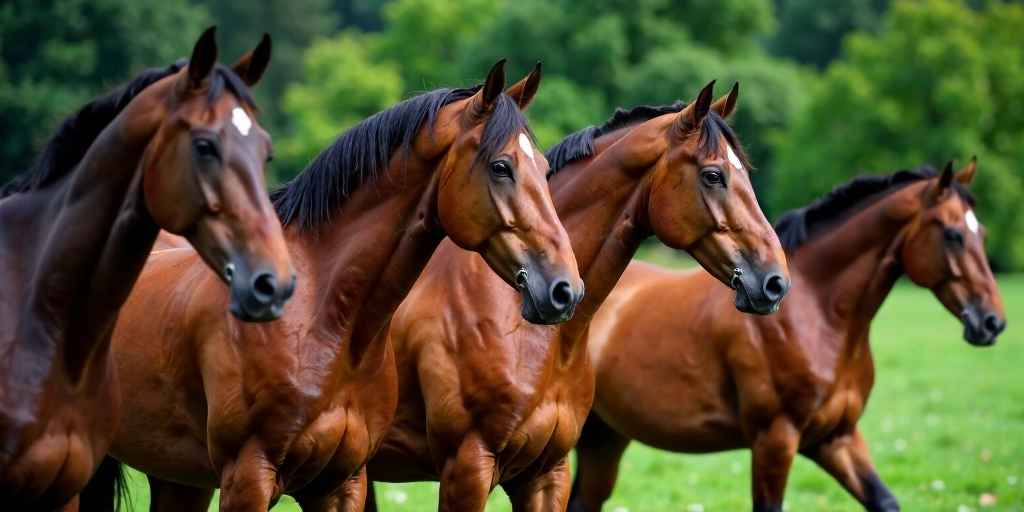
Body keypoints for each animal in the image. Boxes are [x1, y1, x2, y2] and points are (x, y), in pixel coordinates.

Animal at [86, 60, 585, 512]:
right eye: (501, 167)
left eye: (544, 166)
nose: (565, 289)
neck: (323, 320)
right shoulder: (247, 477)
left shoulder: (341, 482)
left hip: (177, 479)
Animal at [569, 159, 1007, 512]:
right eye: (953, 235)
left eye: (983, 235)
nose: (993, 323)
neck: (818, 316)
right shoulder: (775, 439)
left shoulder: (836, 438)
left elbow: (884, 501)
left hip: (604, 437)